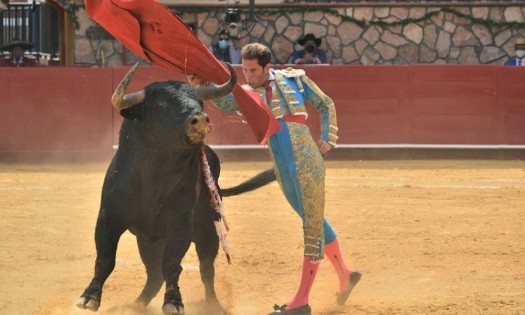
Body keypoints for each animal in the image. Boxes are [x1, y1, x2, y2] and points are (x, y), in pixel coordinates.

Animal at [75, 63, 274, 314]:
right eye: (161, 104)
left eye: (200, 102)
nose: (200, 119)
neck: (154, 177)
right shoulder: (108, 217)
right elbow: (105, 259)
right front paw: (89, 296)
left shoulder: (180, 226)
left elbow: (172, 264)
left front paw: (173, 302)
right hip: (148, 241)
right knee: (153, 274)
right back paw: (136, 305)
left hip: (208, 231)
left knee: (205, 268)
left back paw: (212, 304)